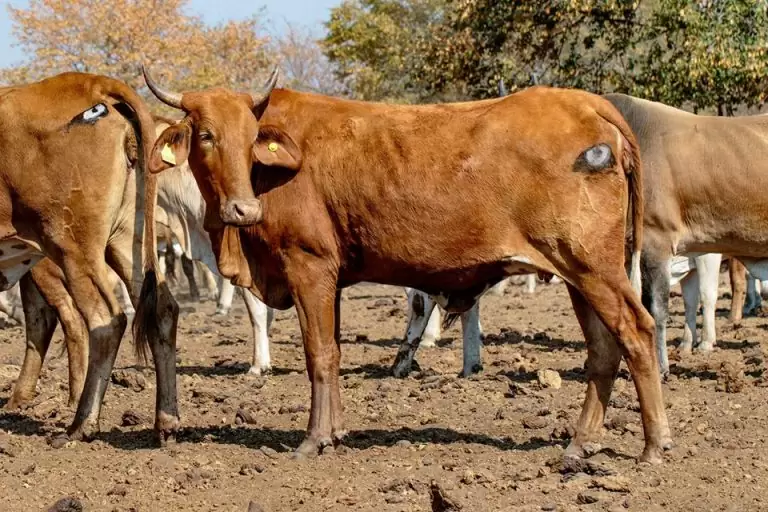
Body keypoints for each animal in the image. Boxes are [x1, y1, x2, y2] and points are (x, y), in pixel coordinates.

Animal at [0, 72, 178, 444]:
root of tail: (93, 82)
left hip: (70, 246)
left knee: (102, 320)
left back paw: (81, 422)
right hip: (126, 240)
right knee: (162, 309)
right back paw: (166, 422)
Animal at [142, 67, 671, 463]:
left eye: (253, 138)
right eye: (205, 135)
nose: (243, 209)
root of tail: (585, 103)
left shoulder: (308, 267)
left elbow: (319, 354)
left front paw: (313, 439)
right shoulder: (330, 277)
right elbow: (334, 352)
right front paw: (336, 432)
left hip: (592, 266)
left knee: (636, 331)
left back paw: (654, 444)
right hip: (578, 273)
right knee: (603, 349)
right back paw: (579, 443)